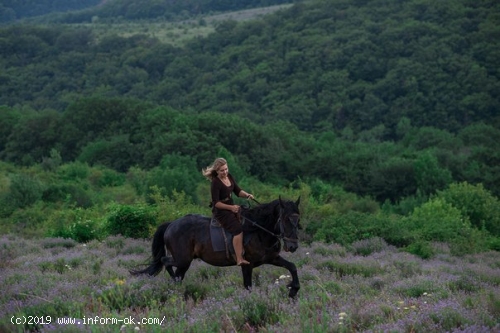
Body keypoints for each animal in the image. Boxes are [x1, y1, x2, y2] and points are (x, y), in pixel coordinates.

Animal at [131, 197, 300, 296]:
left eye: (298, 218)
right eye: (285, 219)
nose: (293, 246)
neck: (258, 230)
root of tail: (171, 224)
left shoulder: (272, 258)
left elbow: (292, 267)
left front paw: (293, 289)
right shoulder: (247, 264)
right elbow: (248, 286)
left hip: (184, 262)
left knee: (177, 272)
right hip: (183, 259)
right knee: (166, 261)